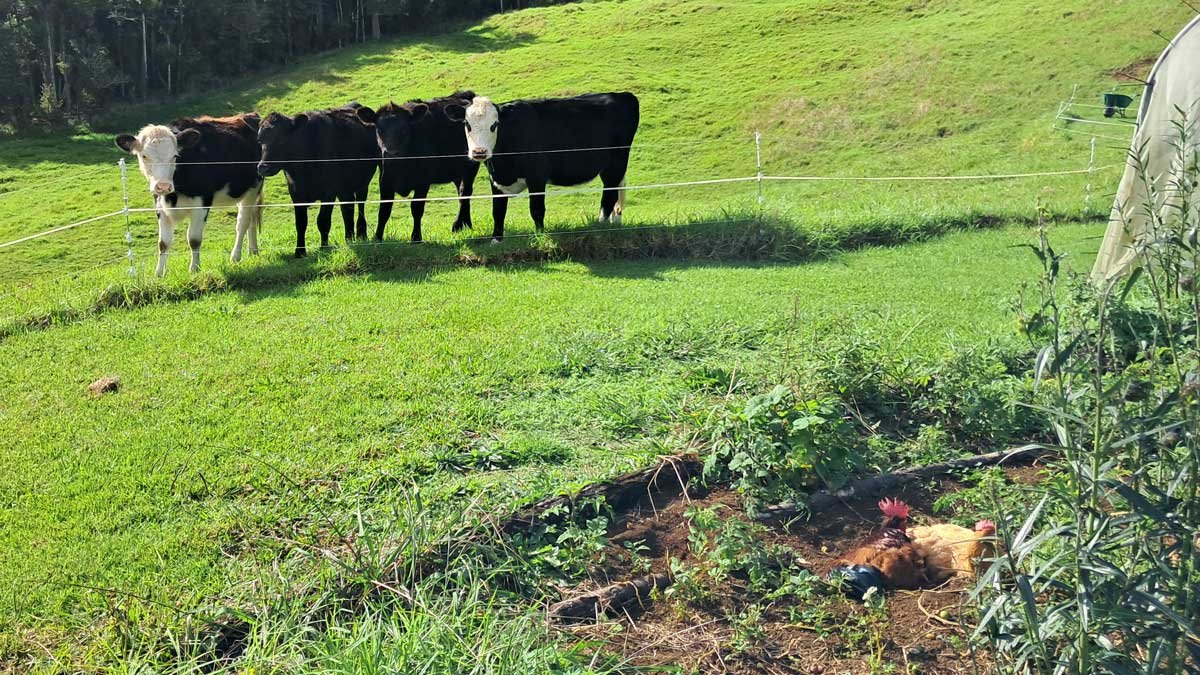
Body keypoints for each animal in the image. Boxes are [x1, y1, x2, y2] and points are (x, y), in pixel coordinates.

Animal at [115, 114, 263, 277]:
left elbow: (194, 239)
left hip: (253, 189)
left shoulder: (202, 203)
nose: (163, 186)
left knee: (243, 222)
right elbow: (163, 243)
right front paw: (159, 274)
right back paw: (253, 251)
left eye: (175, 156)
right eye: (144, 156)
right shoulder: (160, 206)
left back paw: (236, 256)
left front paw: (194, 269)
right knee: (252, 219)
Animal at [256, 103, 379, 257]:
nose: (263, 167)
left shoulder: (329, 193)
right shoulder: (296, 194)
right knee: (347, 208)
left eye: (282, 140)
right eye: (260, 141)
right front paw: (300, 252)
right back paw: (349, 238)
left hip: (362, 183)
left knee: (360, 204)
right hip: (345, 188)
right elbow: (301, 223)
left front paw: (324, 248)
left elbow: (323, 221)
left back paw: (361, 235)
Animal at [356, 91, 481, 242]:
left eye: (404, 130)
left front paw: (416, 237)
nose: (391, 154)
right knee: (461, 191)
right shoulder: (385, 180)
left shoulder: (423, 182)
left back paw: (458, 225)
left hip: (471, 166)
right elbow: (384, 210)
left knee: (465, 192)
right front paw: (377, 238)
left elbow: (416, 208)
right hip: (456, 170)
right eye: (379, 130)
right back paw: (465, 224)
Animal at [444, 92, 639, 242]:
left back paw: (600, 225)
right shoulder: (496, 179)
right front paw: (496, 240)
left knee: (609, 194)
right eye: (467, 124)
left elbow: (536, 210)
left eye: (495, 125)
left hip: (616, 163)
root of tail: (623, 95)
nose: (479, 152)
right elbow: (498, 211)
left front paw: (540, 236)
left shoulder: (537, 177)